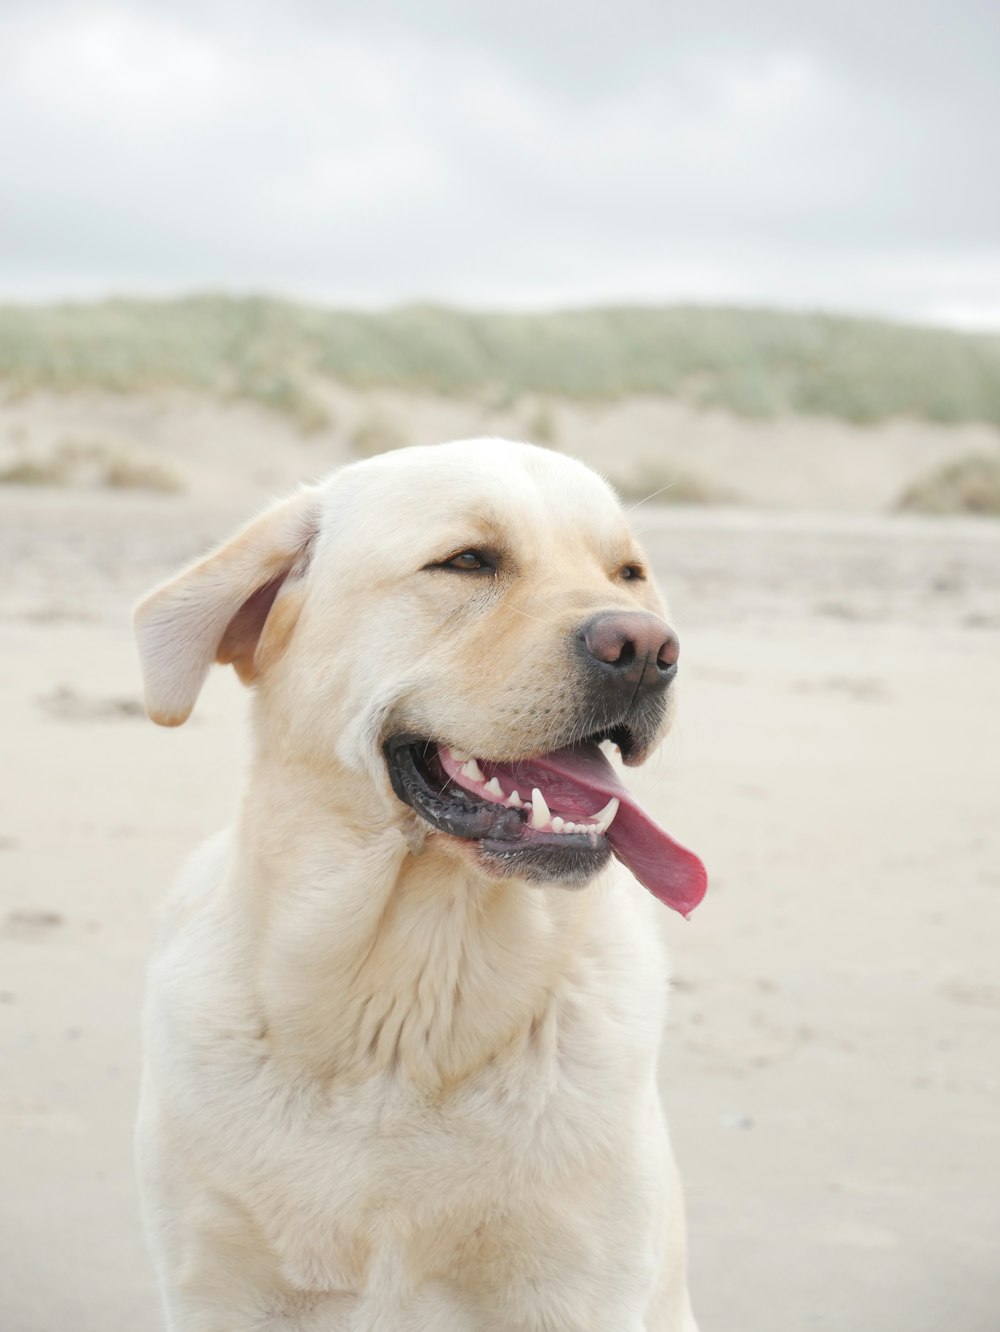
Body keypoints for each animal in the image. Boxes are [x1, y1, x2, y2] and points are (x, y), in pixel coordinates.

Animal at [133, 442, 708, 1326]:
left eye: (628, 574)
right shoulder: (218, 1287)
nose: (647, 649)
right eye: (467, 561)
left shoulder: (578, 1292)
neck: (405, 1016)